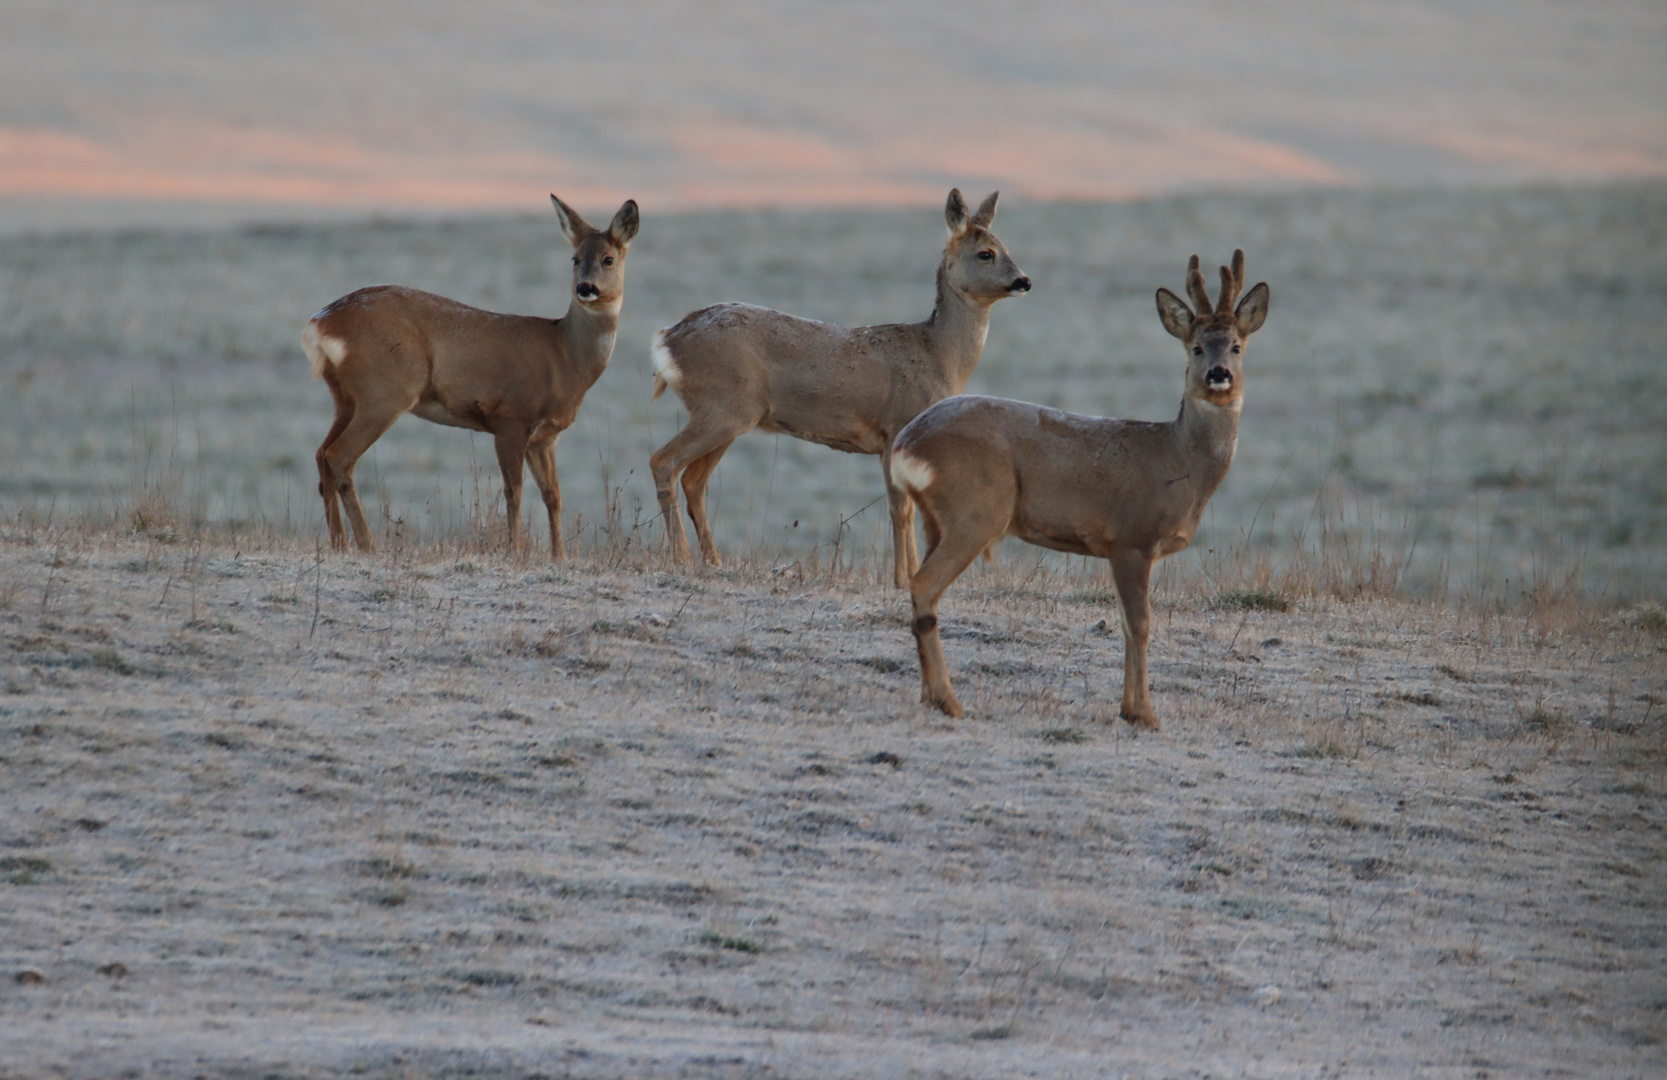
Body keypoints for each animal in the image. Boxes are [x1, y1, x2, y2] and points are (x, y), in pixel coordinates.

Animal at [300, 195, 636, 560]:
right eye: (575, 258)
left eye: (608, 259)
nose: (586, 288)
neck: (565, 357)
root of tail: (321, 321)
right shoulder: (511, 418)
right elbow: (514, 490)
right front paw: (514, 549)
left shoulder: (545, 436)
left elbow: (553, 495)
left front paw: (558, 556)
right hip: (385, 391)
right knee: (339, 456)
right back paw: (366, 544)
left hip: (346, 396)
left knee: (321, 454)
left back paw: (339, 542)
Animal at [646, 190, 1026, 586]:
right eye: (986, 253)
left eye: (1007, 247)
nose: (1024, 281)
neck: (939, 354)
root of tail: (669, 337)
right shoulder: (894, 429)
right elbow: (900, 510)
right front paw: (902, 580)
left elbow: (910, 510)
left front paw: (909, 575)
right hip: (722, 408)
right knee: (664, 462)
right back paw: (682, 557)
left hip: (731, 415)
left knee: (694, 481)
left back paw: (712, 560)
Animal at [893, 248, 1266, 730]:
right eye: (1197, 346)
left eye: (1237, 346)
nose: (1219, 374)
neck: (1178, 461)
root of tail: (905, 443)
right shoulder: (1132, 538)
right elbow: (1140, 624)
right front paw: (1145, 713)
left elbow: (1125, 624)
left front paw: (1128, 708)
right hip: (975, 511)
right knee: (924, 585)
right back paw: (949, 701)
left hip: (935, 519)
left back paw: (930, 695)